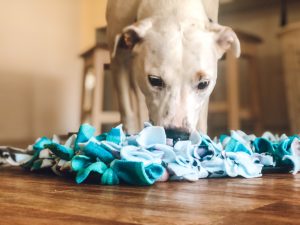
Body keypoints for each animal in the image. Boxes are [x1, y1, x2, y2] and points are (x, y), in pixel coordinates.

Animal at [106, 0, 240, 137]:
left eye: (203, 84)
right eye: (154, 80)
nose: (177, 133)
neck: (175, 6)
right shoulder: (118, 59)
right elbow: (127, 109)